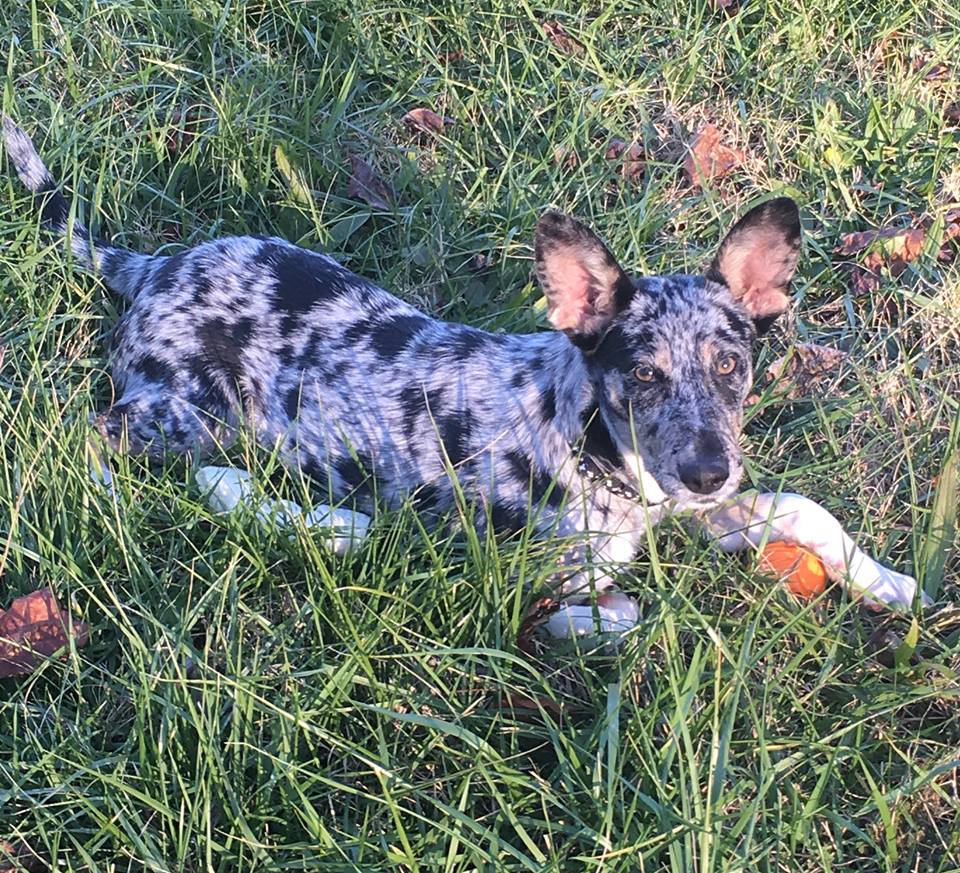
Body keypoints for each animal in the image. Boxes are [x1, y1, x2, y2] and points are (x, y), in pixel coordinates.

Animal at [3, 117, 804, 592]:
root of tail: (152, 268)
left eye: (730, 364)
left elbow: (777, 509)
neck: (586, 438)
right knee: (89, 435)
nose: (708, 472)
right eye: (641, 373)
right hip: (198, 414)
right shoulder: (546, 584)